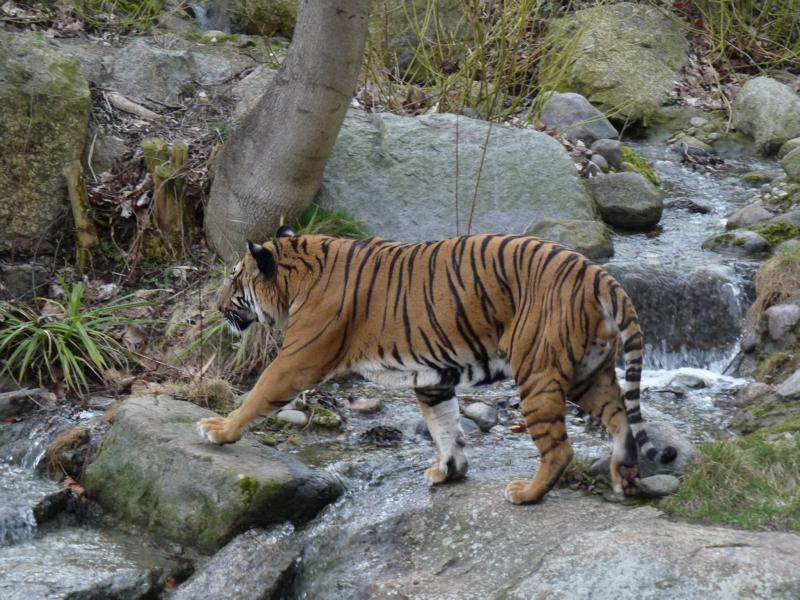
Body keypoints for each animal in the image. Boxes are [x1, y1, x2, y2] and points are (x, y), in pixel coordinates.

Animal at [199, 226, 677, 504]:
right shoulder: (434, 376)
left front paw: (219, 430)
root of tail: (598, 274)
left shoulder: (297, 359)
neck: (301, 270)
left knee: (560, 448)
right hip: (588, 373)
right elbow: (444, 425)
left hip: (538, 372)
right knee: (620, 420)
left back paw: (526, 493)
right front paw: (449, 472)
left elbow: (258, 393)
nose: (216, 307)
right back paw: (623, 479)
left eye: (234, 280)